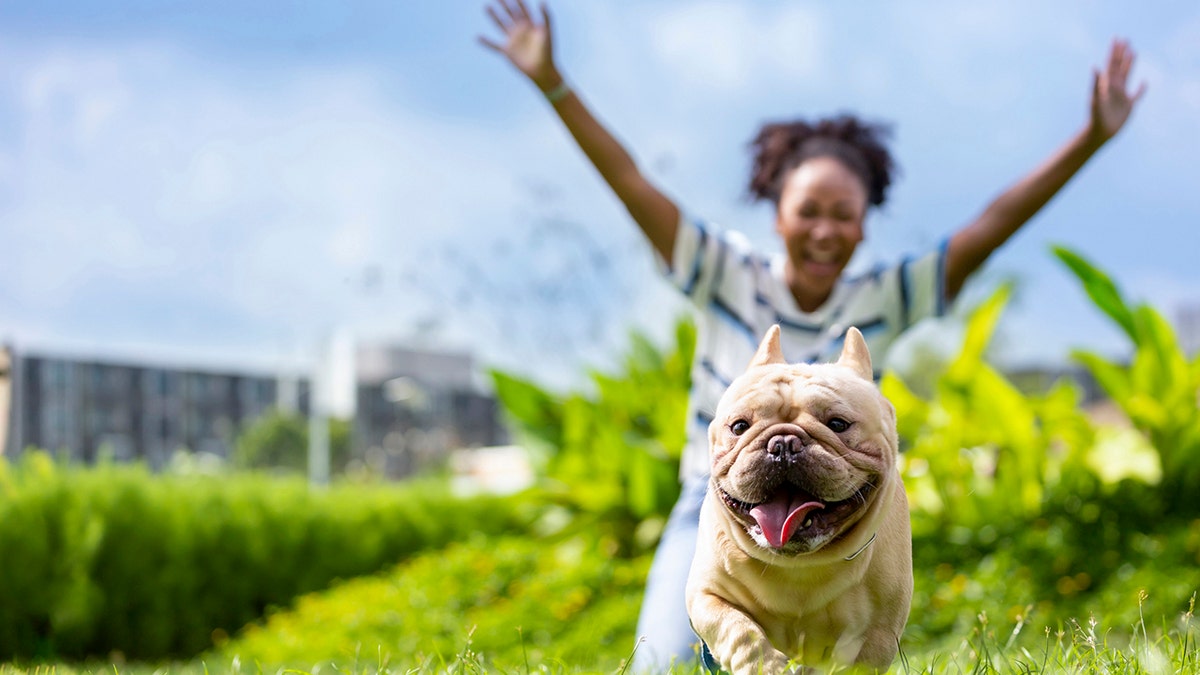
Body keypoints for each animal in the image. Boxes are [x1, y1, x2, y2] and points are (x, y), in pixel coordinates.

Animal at [686, 324, 907, 667]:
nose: (783, 443)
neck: (798, 565)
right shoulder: (707, 595)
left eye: (838, 424)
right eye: (739, 426)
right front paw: (763, 666)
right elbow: (738, 629)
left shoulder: (877, 633)